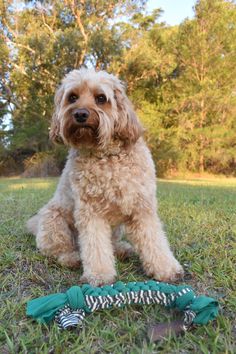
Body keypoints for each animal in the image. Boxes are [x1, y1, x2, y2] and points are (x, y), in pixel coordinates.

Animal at [26, 68, 183, 286]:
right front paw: (99, 275)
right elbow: (95, 247)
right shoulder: (90, 212)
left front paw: (166, 269)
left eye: (101, 98)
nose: (80, 114)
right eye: (72, 97)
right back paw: (73, 258)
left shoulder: (142, 207)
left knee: (112, 243)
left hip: (115, 228)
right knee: (59, 250)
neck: (107, 156)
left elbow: (154, 241)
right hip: (54, 221)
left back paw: (122, 249)